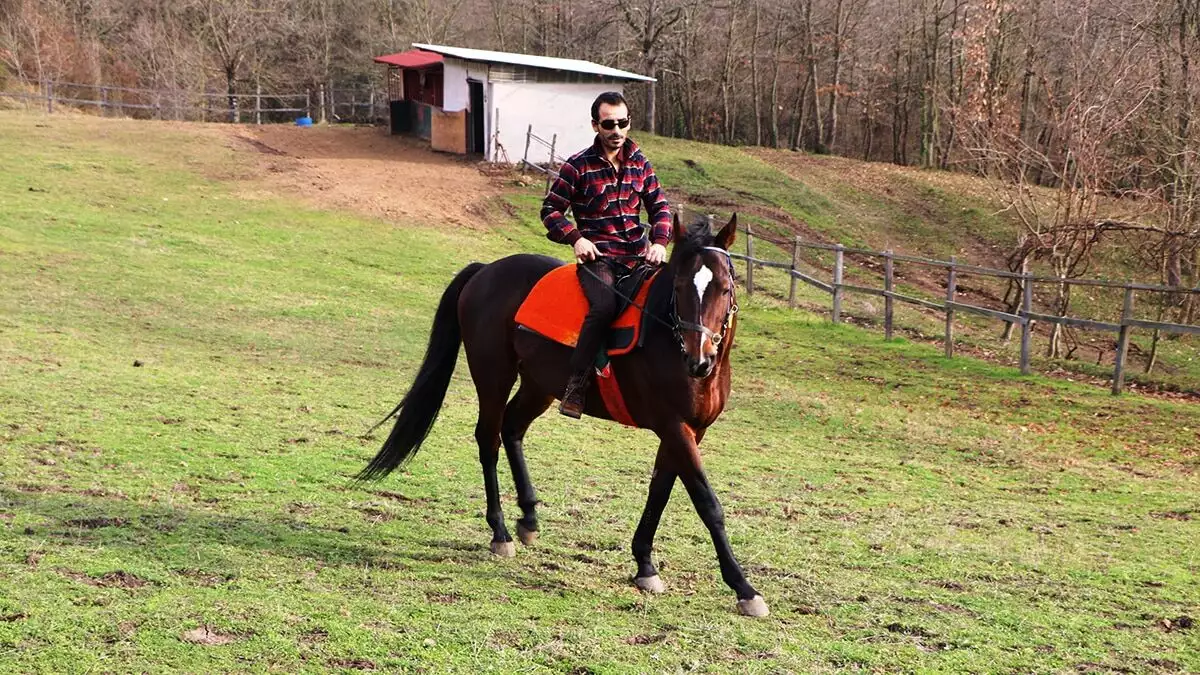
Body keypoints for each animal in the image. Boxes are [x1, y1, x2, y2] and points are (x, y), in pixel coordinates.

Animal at [357, 213, 768, 614]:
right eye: (680, 287)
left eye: (725, 288)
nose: (700, 359)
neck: (665, 338)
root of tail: (485, 270)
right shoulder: (673, 426)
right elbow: (707, 503)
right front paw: (743, 588)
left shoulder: (689, 431)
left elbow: (661, 490)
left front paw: (645, 565)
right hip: (493, 375)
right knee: (488, 439)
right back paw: (500, 532)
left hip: (539, 385)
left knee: (512, 428)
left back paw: (529, 517)